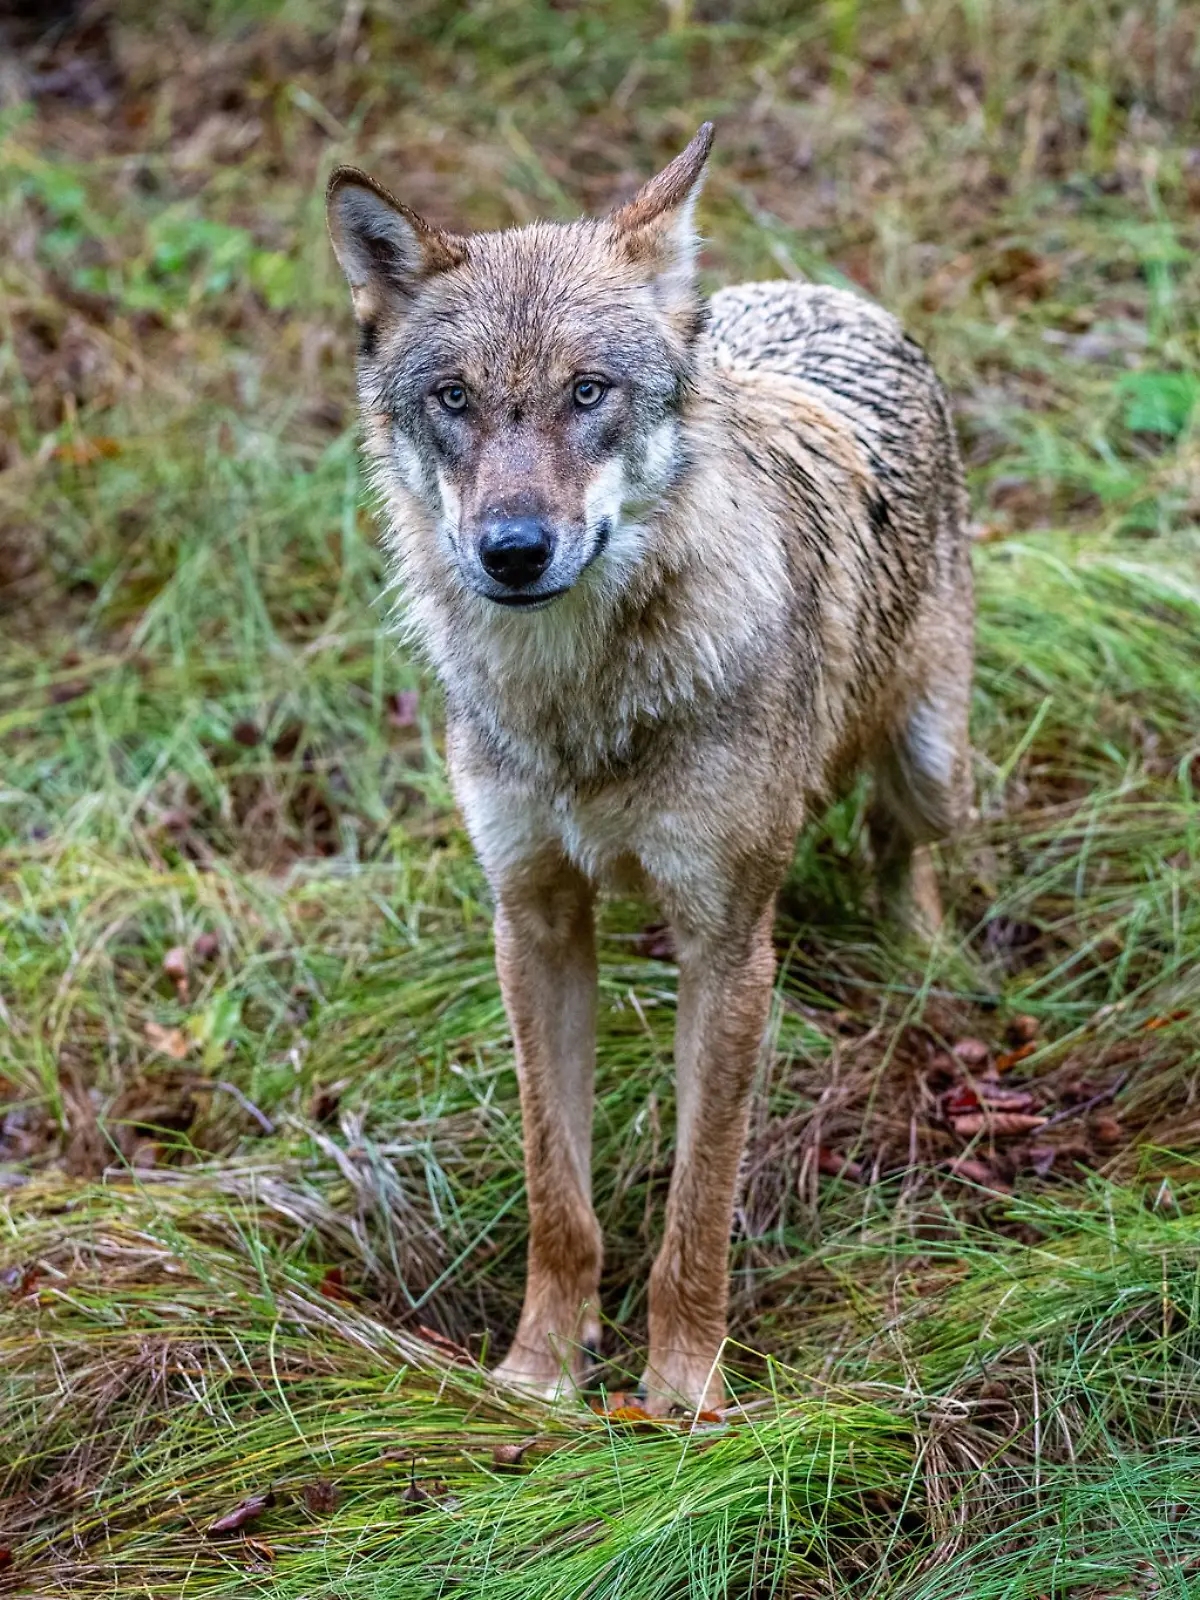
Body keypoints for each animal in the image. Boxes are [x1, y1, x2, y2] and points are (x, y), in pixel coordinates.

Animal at [326, 123, 973, 1415]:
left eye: (589, 392)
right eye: (455, 399)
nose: (513, 550)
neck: (581, 703)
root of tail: (822, 293)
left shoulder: (727, 947)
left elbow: (698, 1205)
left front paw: (681, 1400)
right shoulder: (531, 919)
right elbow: (557, 1195)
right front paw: (538, 1374)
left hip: (929, 760)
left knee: (901, 842)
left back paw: (923, 962)